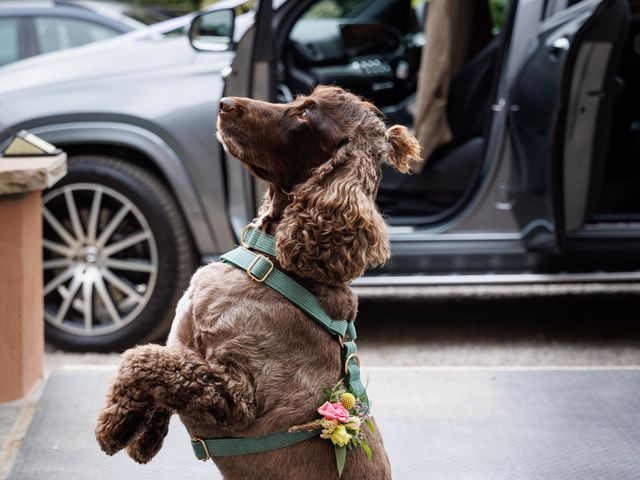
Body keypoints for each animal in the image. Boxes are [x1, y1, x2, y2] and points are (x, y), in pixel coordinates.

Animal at [95, 87, 422, 480]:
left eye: (307, 112)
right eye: (300, 98)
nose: (224, 104)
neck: (273, 261)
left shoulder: (238, 398)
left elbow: (146, 359)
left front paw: (113, 426)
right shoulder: (187, 347)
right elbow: (164, 368)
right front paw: (142, 436)